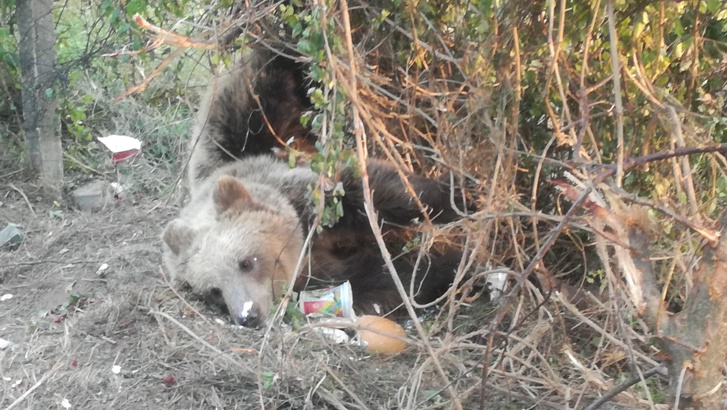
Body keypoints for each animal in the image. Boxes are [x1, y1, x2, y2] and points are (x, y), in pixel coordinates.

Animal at [163, 48, 470, 328]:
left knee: (273, 72)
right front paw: (444, 266)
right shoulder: (311, 275)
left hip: (250, 114)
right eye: (214, 291)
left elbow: (372, 191)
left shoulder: (308, 201)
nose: (247, 315)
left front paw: (458, 199)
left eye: (247, 261)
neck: (302, 243)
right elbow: (373, 280)